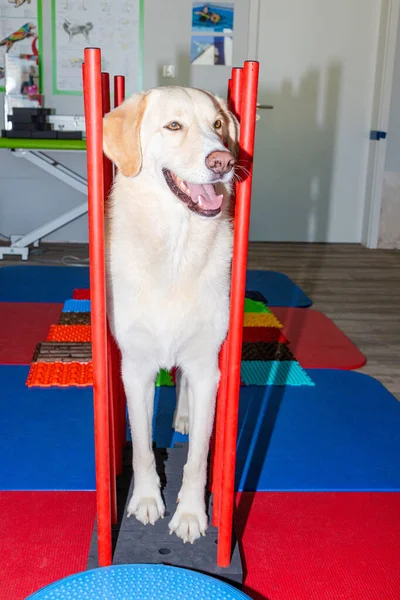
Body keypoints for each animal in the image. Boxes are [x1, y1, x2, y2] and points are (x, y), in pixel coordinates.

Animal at [103, 88, 239, 544]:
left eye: (218, 125)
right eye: (174, 126)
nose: (223, 162)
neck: (176, 247)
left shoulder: (206, 367)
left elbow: (198, 458)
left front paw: (191, 515)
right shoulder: (136, 368)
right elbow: (145, 449)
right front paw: (146, 500)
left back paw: (182, 415)